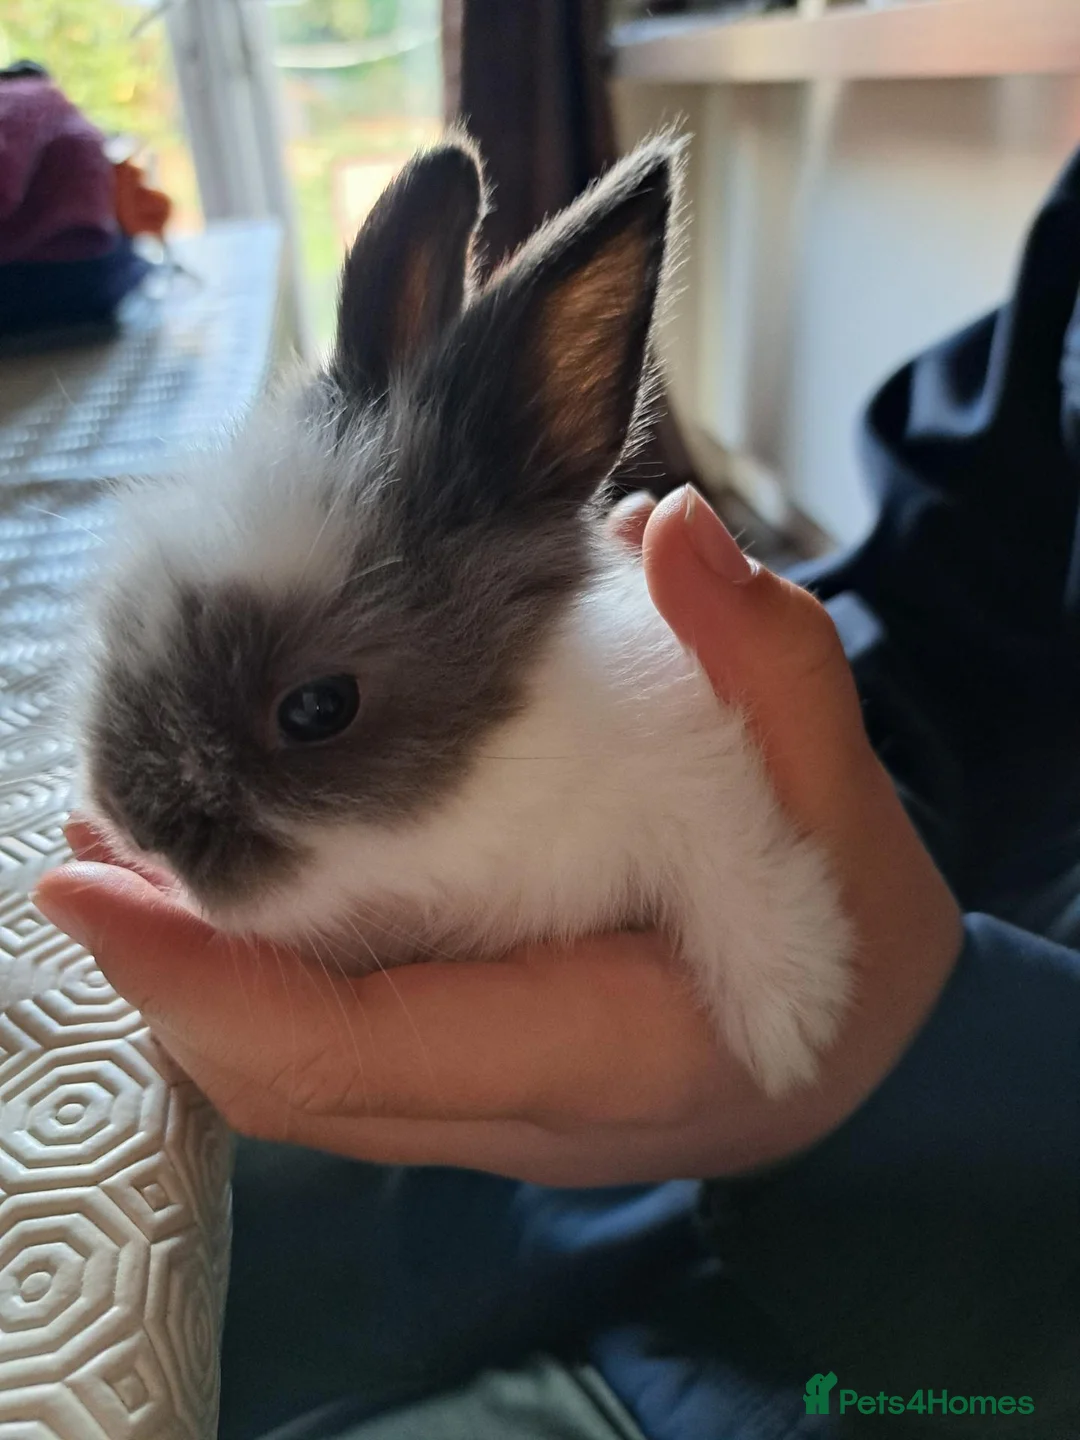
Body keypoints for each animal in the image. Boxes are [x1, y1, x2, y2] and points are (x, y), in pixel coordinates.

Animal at [76, 133, 853, 1096]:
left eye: (317, 708)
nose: (135, 821)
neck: (477, 812)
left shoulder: (696, 767)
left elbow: (733, 859)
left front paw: (791, 1023)